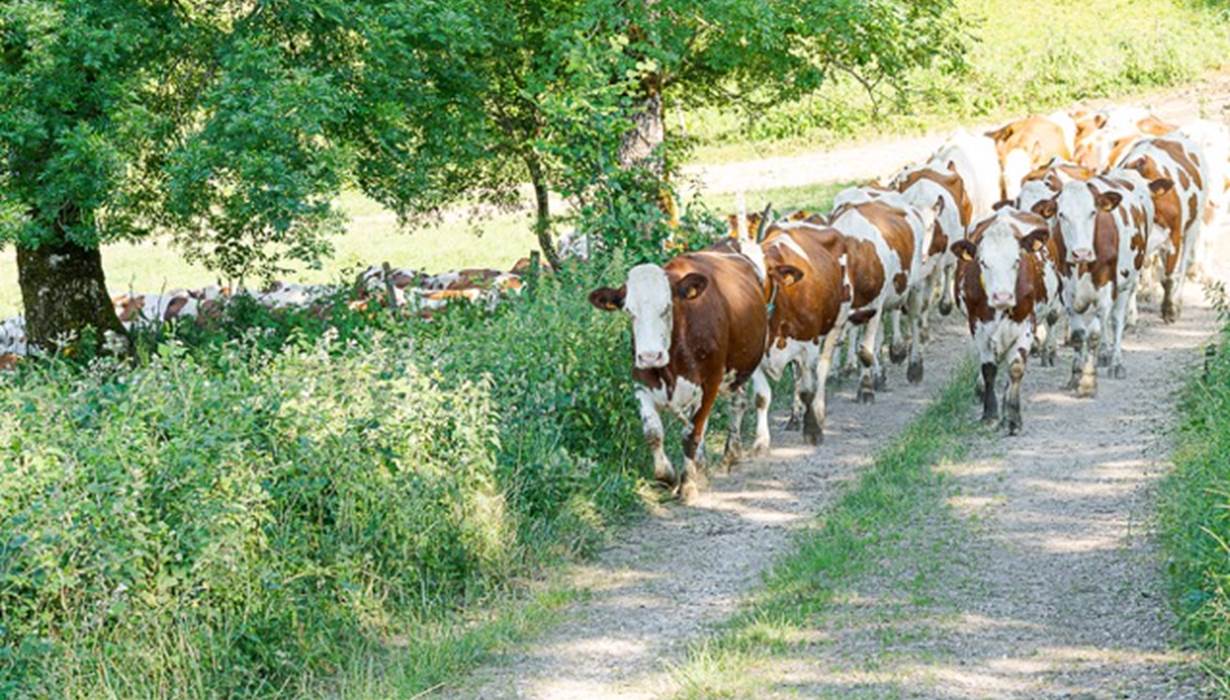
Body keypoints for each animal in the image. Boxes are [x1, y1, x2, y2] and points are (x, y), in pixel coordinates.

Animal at [589, 248, 771, 499]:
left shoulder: (709, 383)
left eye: (667, 307)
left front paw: (688, 484)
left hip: (751, 361)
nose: (650, 356)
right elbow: (653, 433)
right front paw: (667, 476)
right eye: (629, 311)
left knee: (744, 402)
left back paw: (737, 451)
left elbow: (690, 435)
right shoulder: (642, 383)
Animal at [951, 216, 1053, 434]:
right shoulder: (978, 326)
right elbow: (989, 370)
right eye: (983, 262)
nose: (1003, 297)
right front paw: (990, 415)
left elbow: (1015, 368)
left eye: (1017, 260)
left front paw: (1013, 418)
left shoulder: (1026, 325)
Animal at [1120, 133, 1210, 322]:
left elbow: (1168, 277)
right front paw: (1130, 315)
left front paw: (1169, 310)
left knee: (1183, 265)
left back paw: (1178, 301)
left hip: (1194, 224)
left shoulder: (1174, 238)